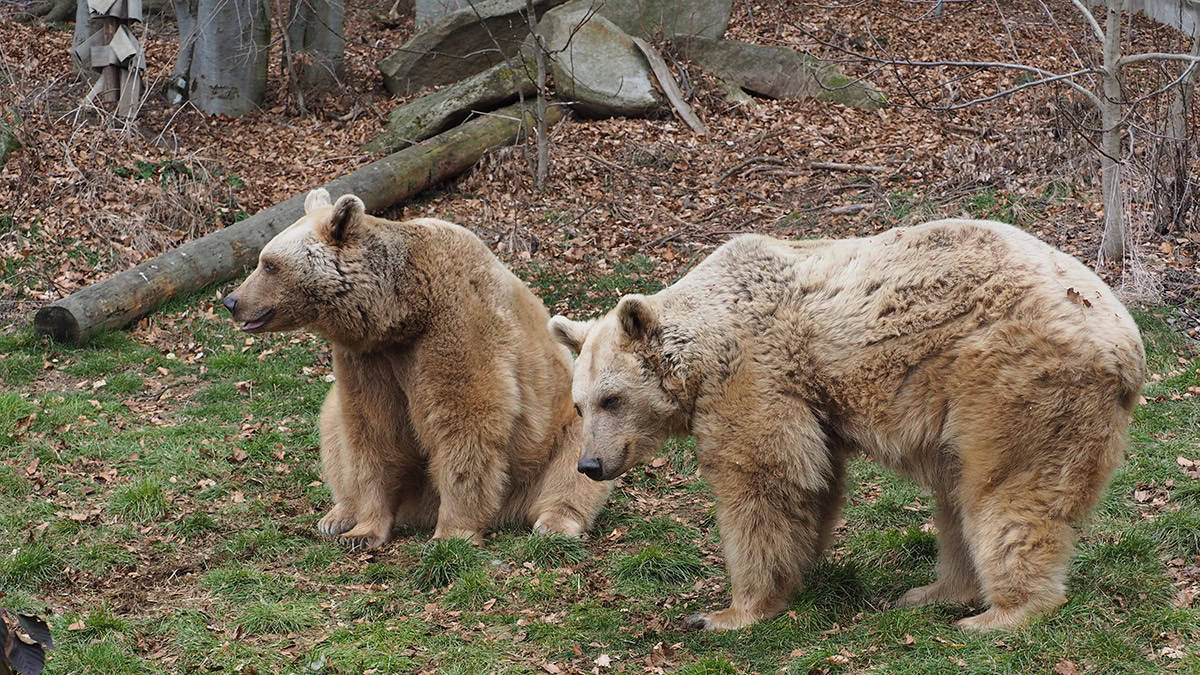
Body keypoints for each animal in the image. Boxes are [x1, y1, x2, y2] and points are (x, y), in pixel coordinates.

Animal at [224, 187, 609, 547]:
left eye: (269, 264)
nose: (231, 301)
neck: (403, 309)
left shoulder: (457, 327)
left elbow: (466, 423)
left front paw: (452, 532)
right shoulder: (367, 358)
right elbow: (371, 429)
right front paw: (362, 530)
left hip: (557, 433)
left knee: (575, 464)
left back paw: (555, 521)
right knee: (333, 424)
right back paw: (338, 516)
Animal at [549, 219, 1142, 629]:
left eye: (612, 399)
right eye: (580, 405)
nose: (591, 464)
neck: (708, 340)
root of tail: (1126, 341)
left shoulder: (754, 375)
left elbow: (762, 480)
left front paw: (726, 612)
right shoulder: (807, 401)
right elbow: (815, 484)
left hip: (1012, 378)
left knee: (1007, 489)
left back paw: (1001, 613)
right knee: (957, 495)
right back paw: (934, 592)